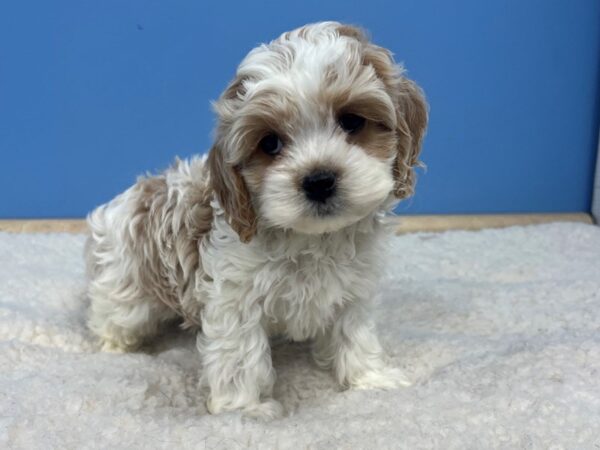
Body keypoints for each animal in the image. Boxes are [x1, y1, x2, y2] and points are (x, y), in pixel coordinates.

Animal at [86, 21, 428, 420]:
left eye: (352, 121)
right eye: (270, 144)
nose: (319, 180)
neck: (312, 238)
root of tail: (131, 194)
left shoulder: (353, 292)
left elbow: (354, 334)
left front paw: (370, 380)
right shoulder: (234, 299)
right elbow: (239, 358)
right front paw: (244, 412)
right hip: (124, 290)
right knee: (111, 320)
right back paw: (116, 351)